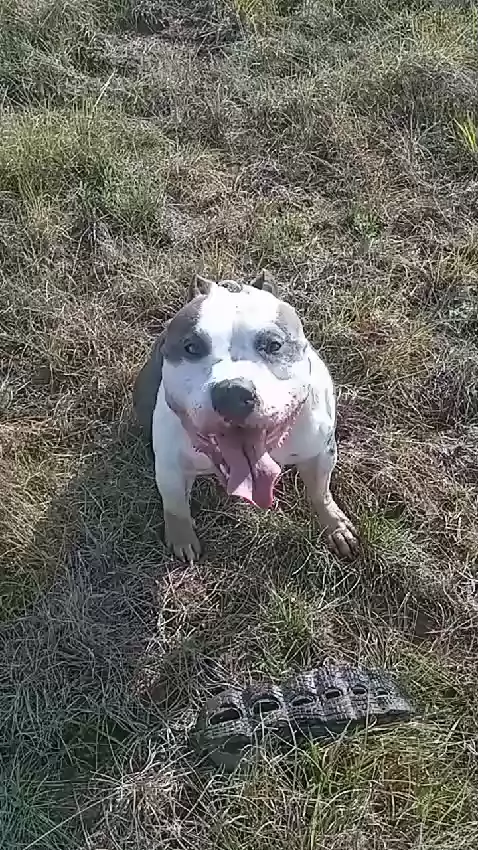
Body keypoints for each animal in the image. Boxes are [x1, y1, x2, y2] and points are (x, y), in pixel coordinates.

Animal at [133, 271, 358, 562]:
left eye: (274, 345)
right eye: (192, 347)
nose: (232, 393)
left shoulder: (321, 452)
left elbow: (321, 492)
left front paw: (335, 525)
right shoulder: (170, 467)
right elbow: (175, 506)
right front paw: (182, 537)